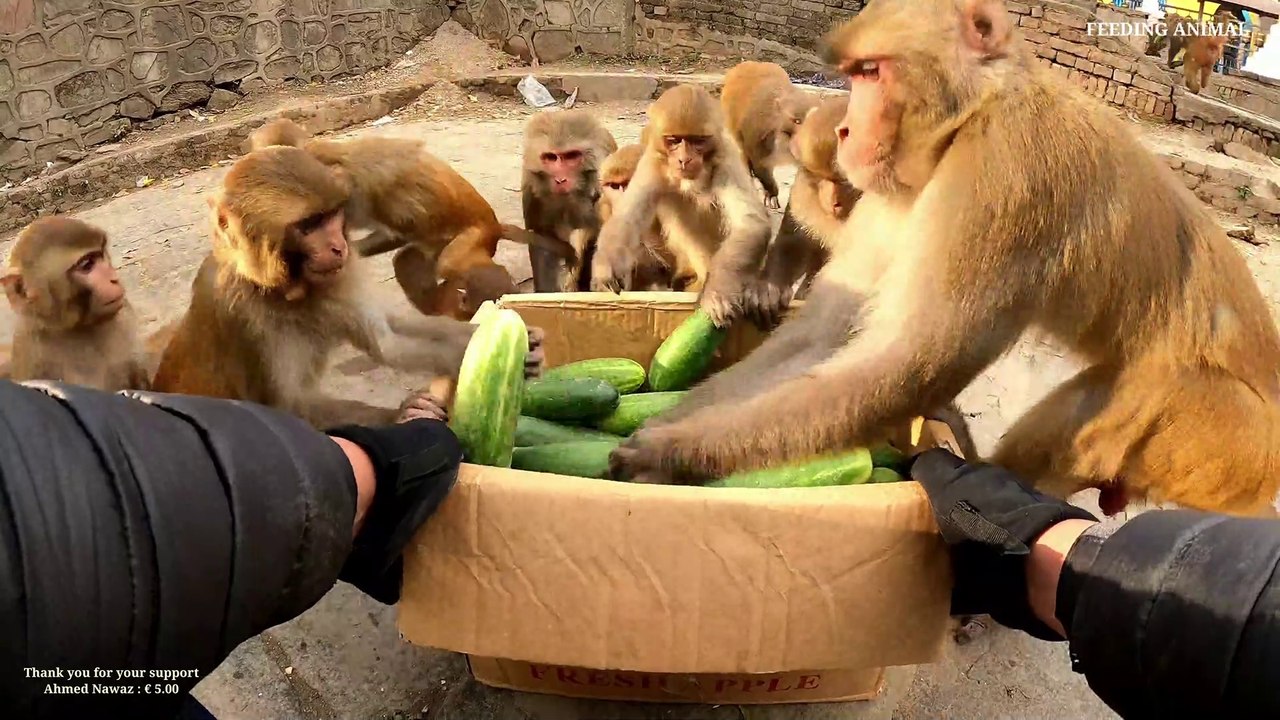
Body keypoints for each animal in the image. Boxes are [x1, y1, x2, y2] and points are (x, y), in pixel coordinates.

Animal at [0, 217, 153, 391]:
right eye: (87, 265)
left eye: (101, 254)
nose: (114, 279)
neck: (78, 328)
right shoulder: (33, 354)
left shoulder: (125, 317)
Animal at [151, 145, 545, 428]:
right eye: (309, 225)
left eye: (330, 216)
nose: (340, 246)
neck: (285, 288)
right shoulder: (242, 315)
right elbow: (286, 406)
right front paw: (400, 415)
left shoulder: (336, 279)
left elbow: (388, 339)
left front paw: (503, 340)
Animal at [590, 84, 782, 329]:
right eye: (674, 140)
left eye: (697, 141)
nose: (684, 160)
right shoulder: (653, 161)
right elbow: (627, 216)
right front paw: (607, 268)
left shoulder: (725, 159)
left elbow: (750, 224)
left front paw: (717, 294)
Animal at [760, 95, 862, 306]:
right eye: (817, 176)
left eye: (845, 181)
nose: (832, 202)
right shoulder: (801, 196)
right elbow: (794, 244)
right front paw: (769, 290)